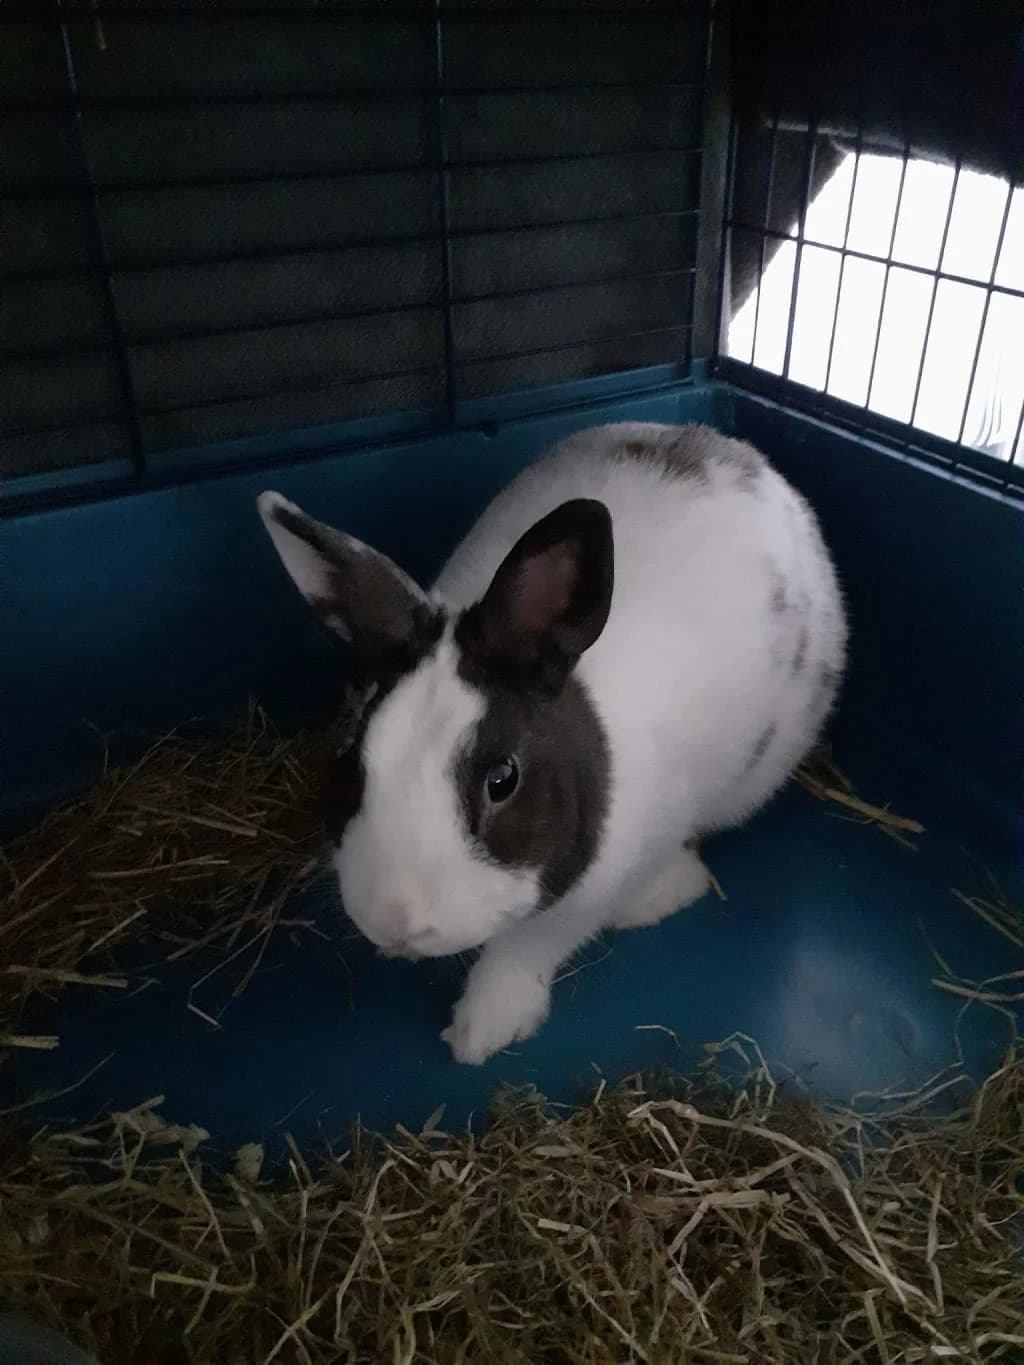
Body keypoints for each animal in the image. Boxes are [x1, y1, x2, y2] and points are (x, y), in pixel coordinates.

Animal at [258, 422, 846, 1064]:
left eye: (502, 779)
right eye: (353, 759)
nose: (395, 920)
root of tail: (737, 450)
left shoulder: (580, 903)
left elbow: (524, 952)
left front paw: (481, 1034)